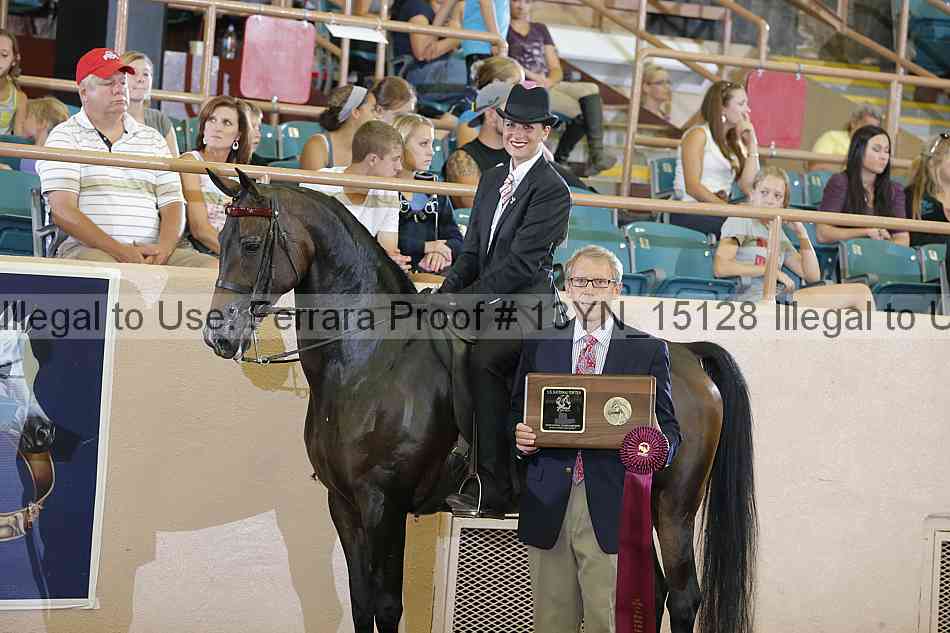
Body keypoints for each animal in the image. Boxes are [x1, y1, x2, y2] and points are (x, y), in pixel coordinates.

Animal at [203, 170, 756, 633]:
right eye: (220, 242)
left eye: (250, 243)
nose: (218, 336)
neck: (370, 359)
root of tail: (685, 356)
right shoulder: (344, 504)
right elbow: (361, 604)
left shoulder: (384, 503)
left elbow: (387, 605)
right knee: (652, 589)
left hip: (673, 504)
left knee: (682, 596)